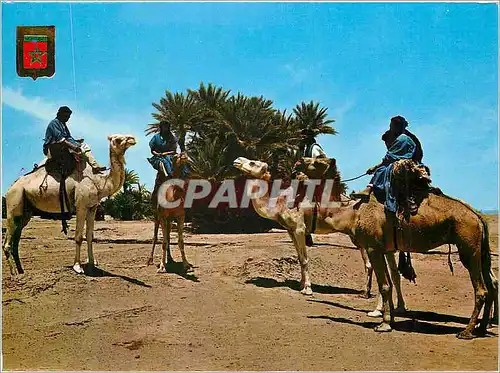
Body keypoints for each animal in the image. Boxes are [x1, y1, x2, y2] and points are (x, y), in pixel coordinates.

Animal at [3, 134, 138, 274]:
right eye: (117, 139)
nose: (132, 139)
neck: (99, 182)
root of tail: (11, 187)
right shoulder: (81, 206)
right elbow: (78, 237)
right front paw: (77, 266)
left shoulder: (92, 207)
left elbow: (90, 236)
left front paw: (92, 263)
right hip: (14, 200)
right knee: (8, 241)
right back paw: (14, 273)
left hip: (26, 210)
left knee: (16, 240)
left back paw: (21, 271)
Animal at [233, 155, 496, 338]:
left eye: (316, 160)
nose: (237, 160)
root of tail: (477, 215)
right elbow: (387, 280)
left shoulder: (306, 230)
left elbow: (383, 284)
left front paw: (384, 324)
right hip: (479, 248)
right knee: (491, 283)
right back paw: (482, 327)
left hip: (468, 246)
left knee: (481, 288)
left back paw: (466, 331)